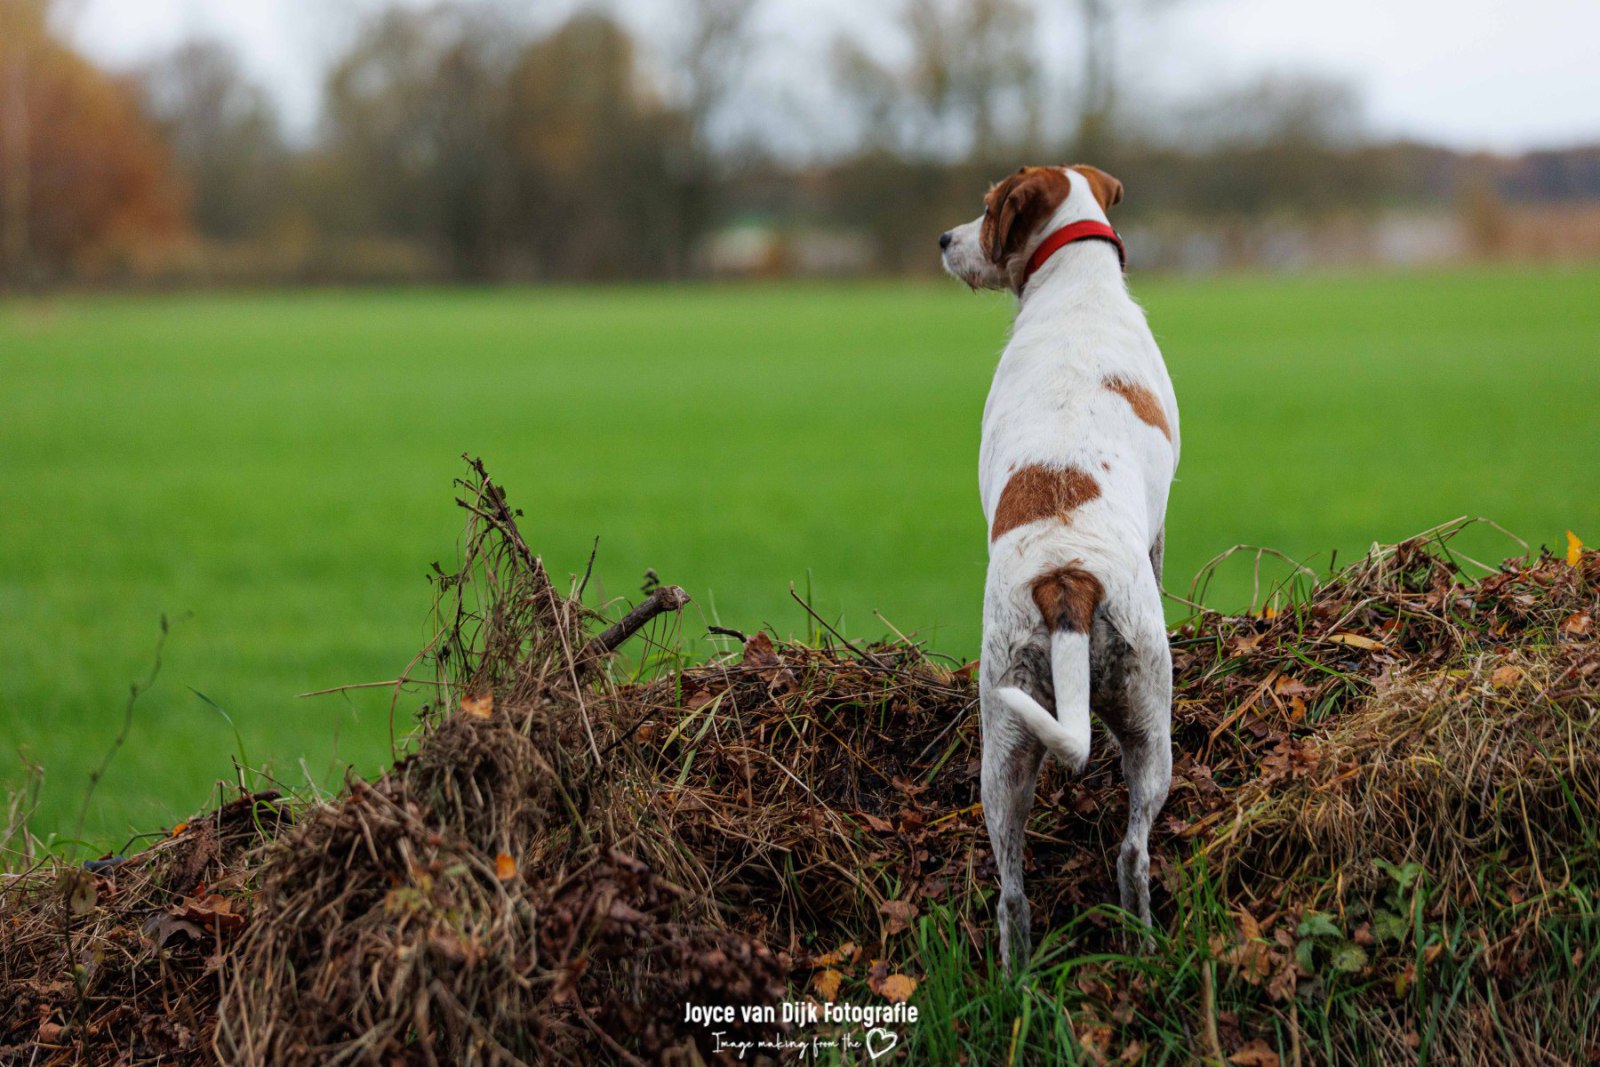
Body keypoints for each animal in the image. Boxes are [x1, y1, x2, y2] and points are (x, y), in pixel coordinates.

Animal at [934, 164, 1177, 966]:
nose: (943, 239)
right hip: (1134, 719)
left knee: (1033, 885)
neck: (1076, 282)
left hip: (1021, 742)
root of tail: (1068, 578)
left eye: (984, 209)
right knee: (1105, 861)